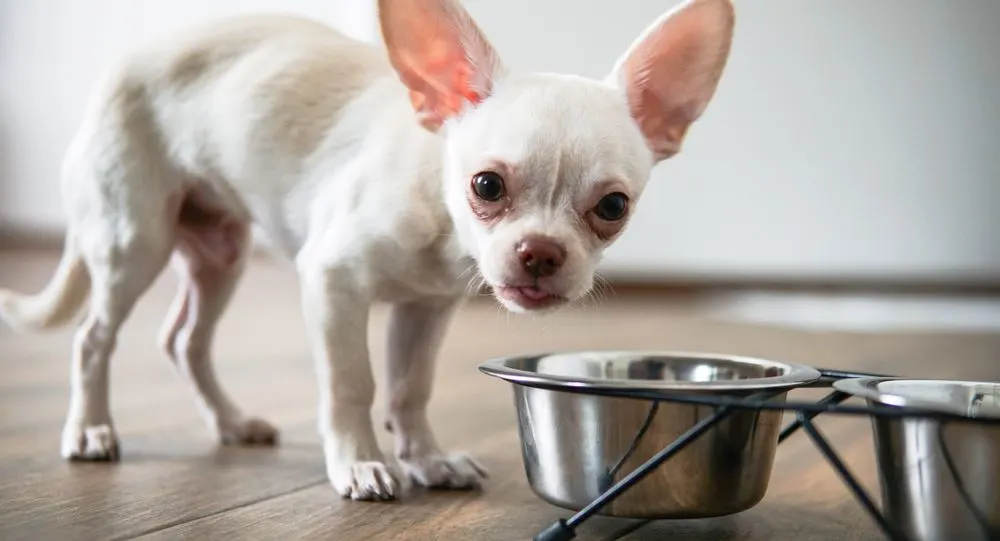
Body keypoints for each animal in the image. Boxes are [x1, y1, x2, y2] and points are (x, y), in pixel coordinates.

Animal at [0, 0, 736, 500]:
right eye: (486, 186)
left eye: (612, 207)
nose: (540, 252)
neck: (437, 215)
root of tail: (119, 68)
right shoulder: (333, 284)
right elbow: (353, 382)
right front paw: (360, 462)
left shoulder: (426, 309)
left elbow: (410, 387)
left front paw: (428, 460)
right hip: (133, 241)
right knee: (92, 337)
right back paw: (90, 430)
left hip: (220, 254)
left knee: (185, 340)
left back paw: (231, 422)